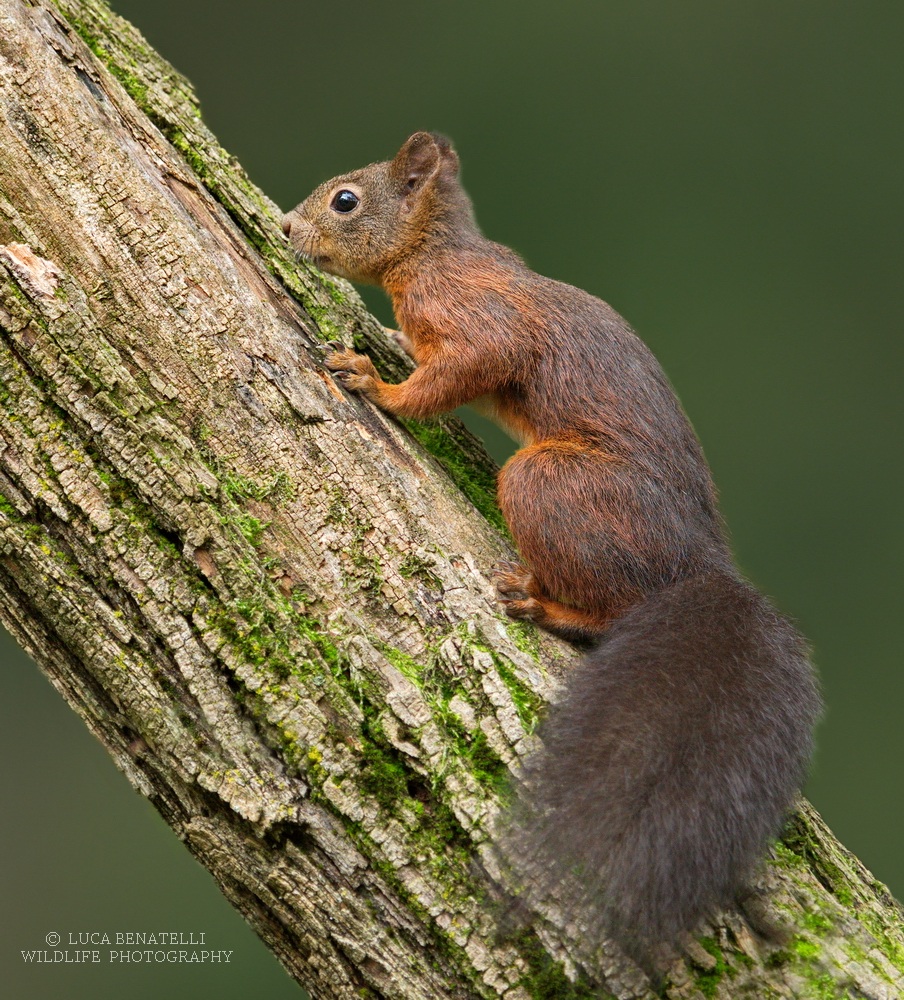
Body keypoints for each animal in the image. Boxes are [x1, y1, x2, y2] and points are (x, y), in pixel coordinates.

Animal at [281, 132, 822, 963]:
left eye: (346, 200)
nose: (284, 227)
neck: (435, 250)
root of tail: (698, 565)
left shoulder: (477, 321)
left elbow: (463, 368)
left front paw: (377, 384)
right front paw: (388, 346)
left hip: (550, 486)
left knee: (610, 606)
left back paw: (546, 603)